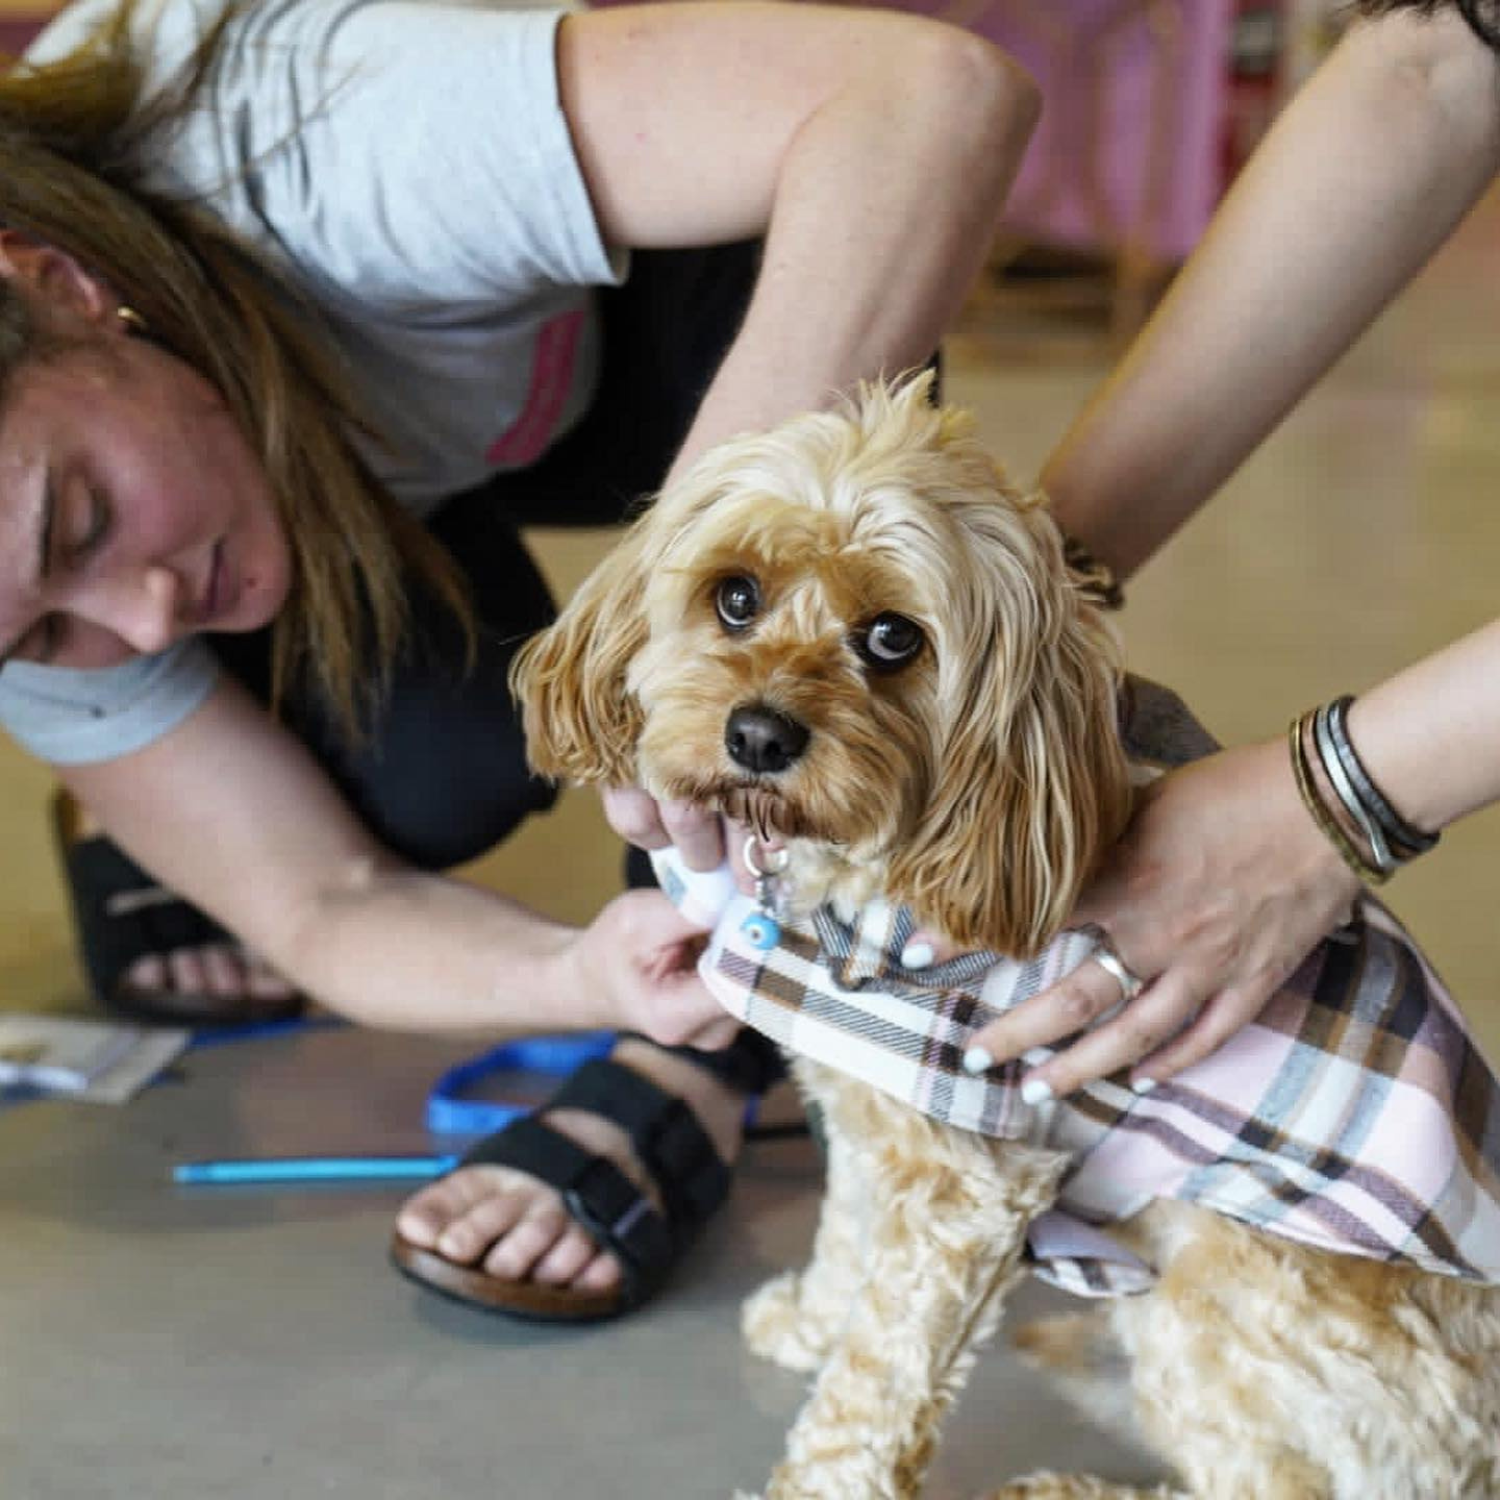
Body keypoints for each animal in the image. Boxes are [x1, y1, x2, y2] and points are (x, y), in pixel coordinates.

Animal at [513, 375, 1500, 1500]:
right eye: (735, 597)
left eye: (894, 638)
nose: (758, 737)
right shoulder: (871, 1110)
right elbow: (851, 1232)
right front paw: (813, 1319)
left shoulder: (968, 1183)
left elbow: (877, 1379)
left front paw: (820, 1470)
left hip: (1215, 1306)